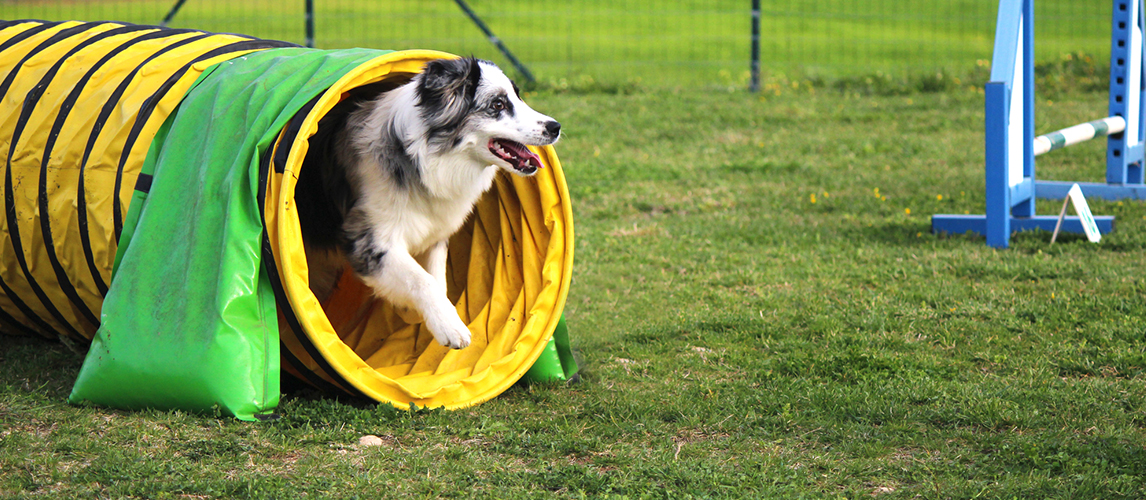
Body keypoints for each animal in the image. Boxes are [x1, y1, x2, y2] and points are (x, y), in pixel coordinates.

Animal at [295, 56, 559, 348]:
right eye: (498, 105)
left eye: (518, 96)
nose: (555, 127)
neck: (425, 160)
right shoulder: (370, 241)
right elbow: (422, 281)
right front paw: (450, 327)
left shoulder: (434, 235)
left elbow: (437, 280)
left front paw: (429, 316)